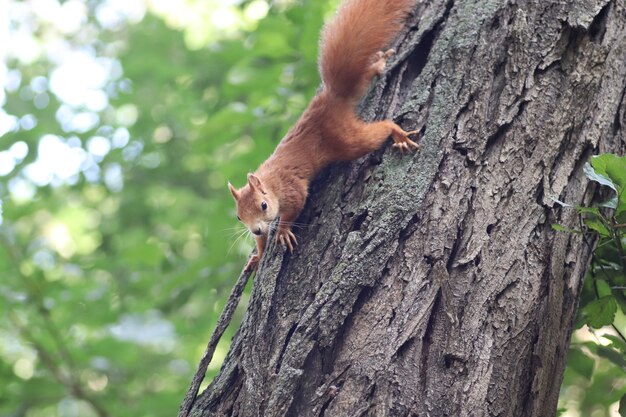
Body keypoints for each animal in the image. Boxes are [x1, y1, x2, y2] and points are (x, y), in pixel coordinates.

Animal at [227, 0, 416, 272]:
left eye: (263, 205)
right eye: (239, 216)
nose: (256, 229)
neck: (270, 183)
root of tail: (332, 99)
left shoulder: (291, 189)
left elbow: (294, 207)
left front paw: (282, 231)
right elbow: (261, 243)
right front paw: (259, 255)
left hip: (347, 140)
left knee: (376, 132)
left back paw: (397, 132)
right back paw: (378, 64)